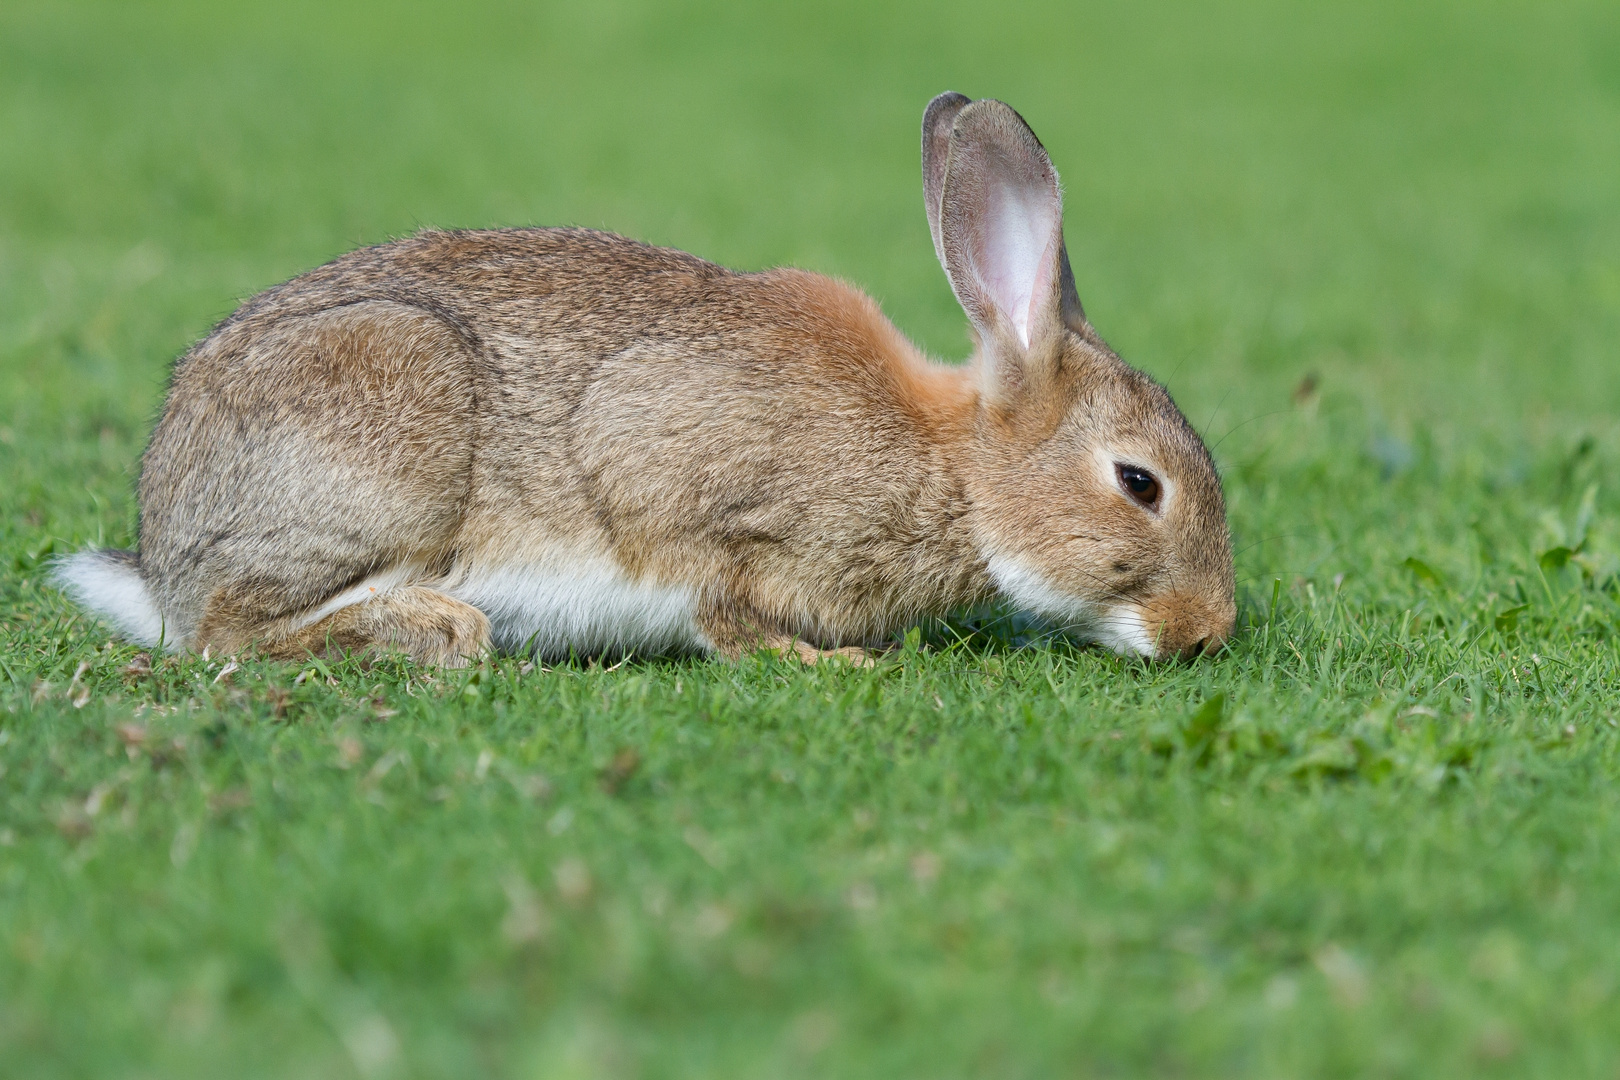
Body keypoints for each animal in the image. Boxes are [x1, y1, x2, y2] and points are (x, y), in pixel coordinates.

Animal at [57, 93, 1231, 667]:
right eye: (1139, 484)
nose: (1208, 634)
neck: (957, 467)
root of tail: (161, 552)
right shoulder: (684, 489)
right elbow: (718, 599)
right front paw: (837, 667)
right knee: (228, 633)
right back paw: (438, 631)